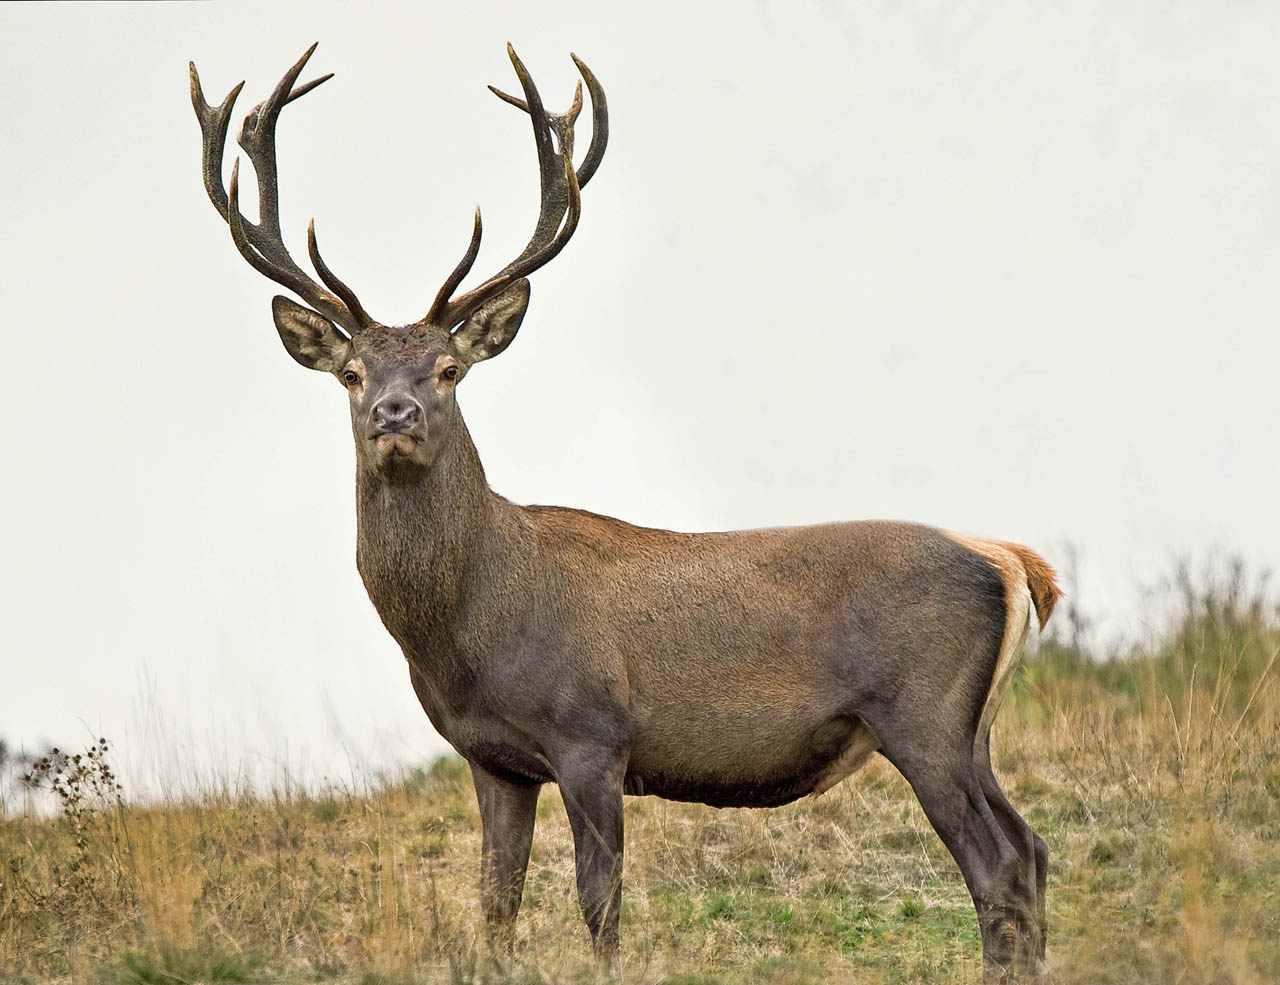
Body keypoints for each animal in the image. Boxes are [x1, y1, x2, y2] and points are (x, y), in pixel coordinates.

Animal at [190, 43, 1061, 983]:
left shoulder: (592, 733)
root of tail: (1014, 562)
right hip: (972, 727)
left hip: (925, 712)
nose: (396, 413)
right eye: (351, 374)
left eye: (449, 368)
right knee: (1032, 848)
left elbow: (598, 899)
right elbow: (495, 903)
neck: (468, 627)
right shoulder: (493, 758)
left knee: (998, 861)